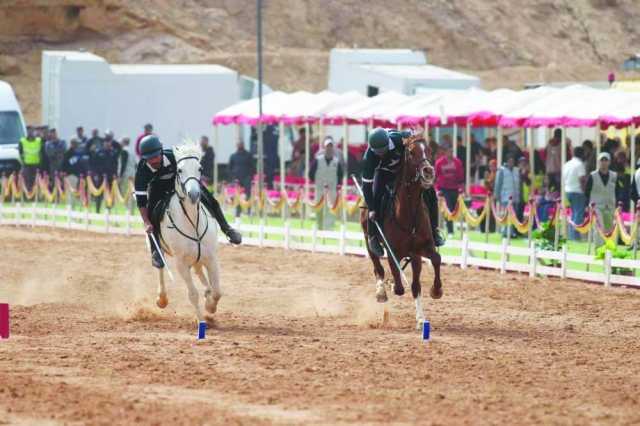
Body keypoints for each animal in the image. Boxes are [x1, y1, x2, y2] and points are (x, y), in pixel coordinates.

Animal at [155, 143, 222, 322]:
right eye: (179, 170)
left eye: (200, 168)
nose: (194, 194)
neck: (193, 222)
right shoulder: (181, 264)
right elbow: (193, 294)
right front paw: (201, 320)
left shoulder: (211, 257)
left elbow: (217, 292)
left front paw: (210, 306)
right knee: (160, 267)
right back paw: (162, 298)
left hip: (200, 256)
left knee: (200, 272)